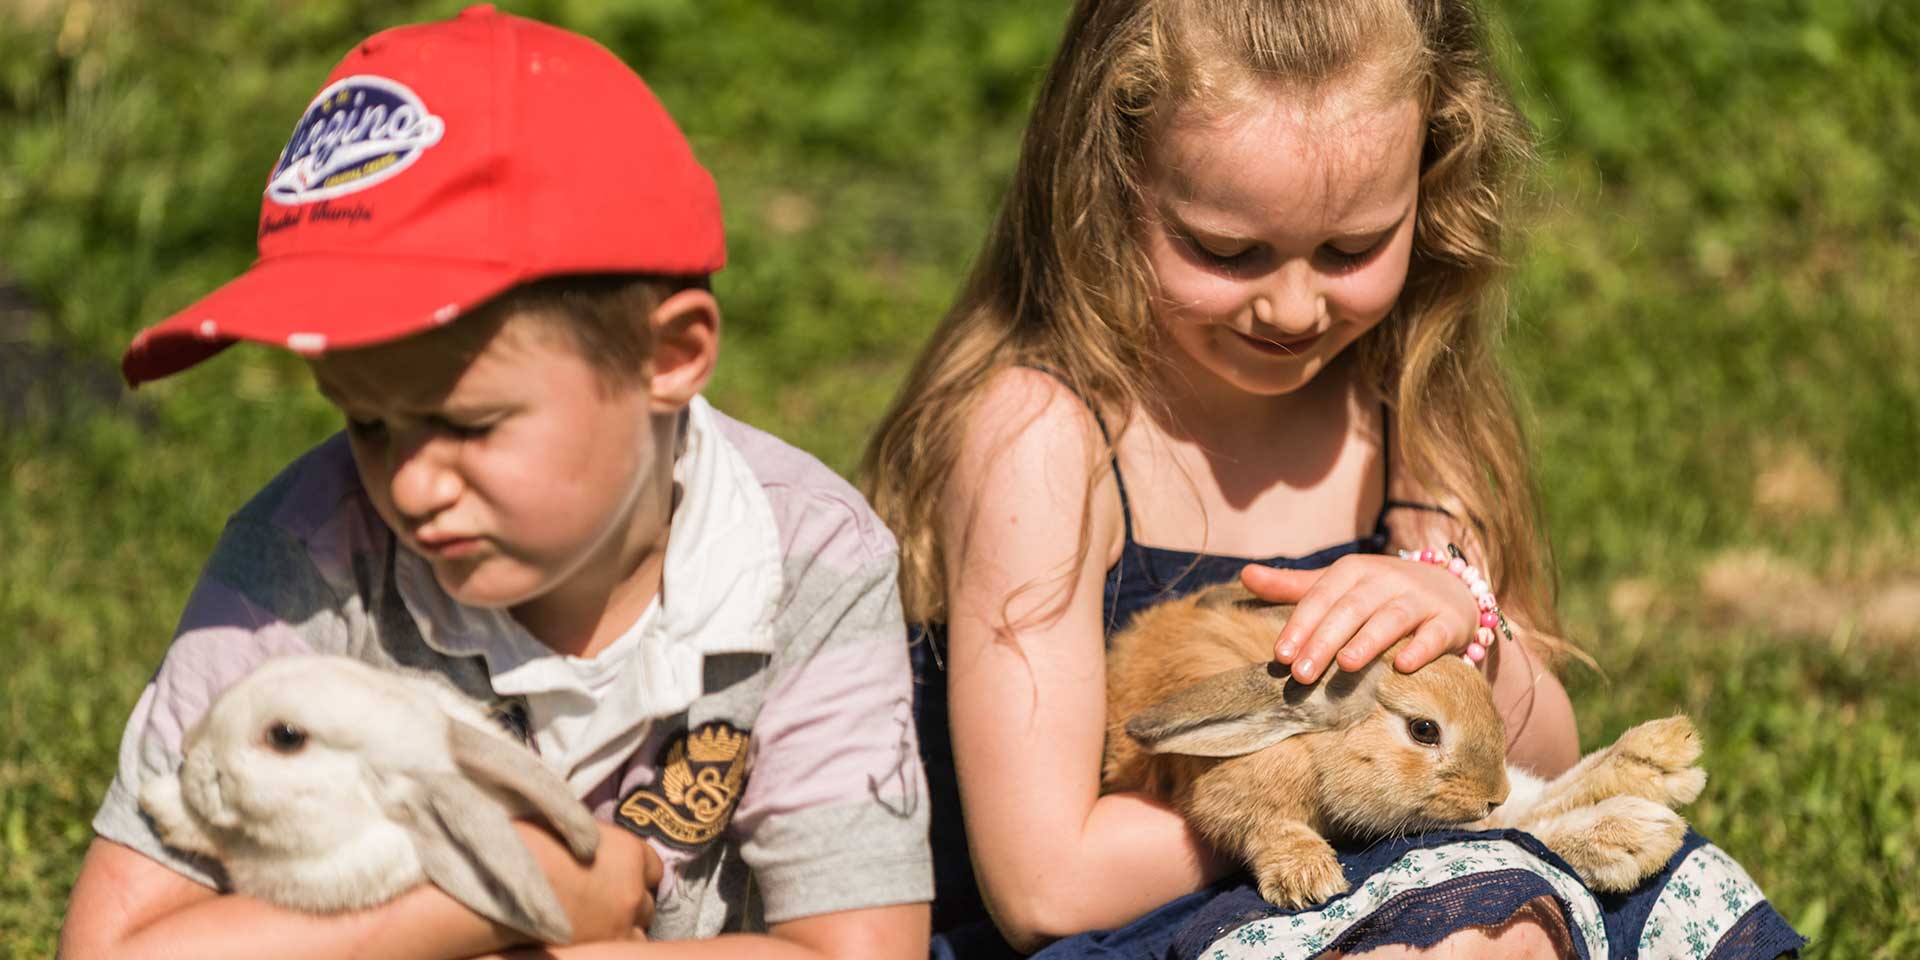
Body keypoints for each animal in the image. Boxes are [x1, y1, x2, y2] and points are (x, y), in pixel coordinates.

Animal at [1105, 583, 1704, 906]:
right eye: (1424, 730)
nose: (1492, 792)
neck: (1307, 737)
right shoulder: (1228, 793)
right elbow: (1256, 824)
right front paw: (1310, 879)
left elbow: (1521, 814)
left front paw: (1656, 783)